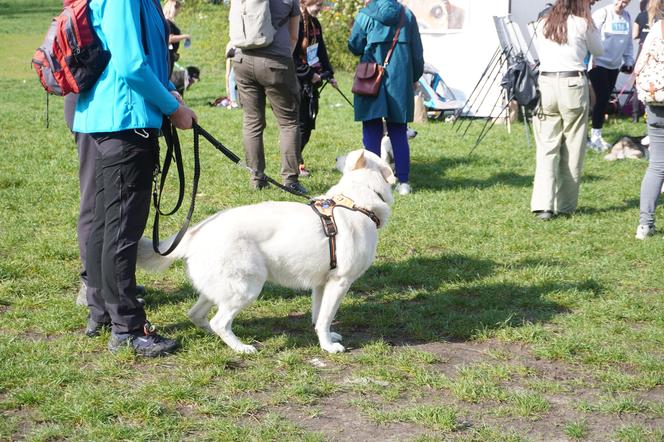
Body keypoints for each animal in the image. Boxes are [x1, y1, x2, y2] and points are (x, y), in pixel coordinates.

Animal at [136, 150, 394, 354]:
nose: (336, 157)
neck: (355, 200)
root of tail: (197, 229)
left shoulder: (322, 283)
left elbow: (319, 316)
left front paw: (327, 337)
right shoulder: (340, 282)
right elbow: (325, 318)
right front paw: (328, 347)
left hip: (221, 288)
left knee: (196, 314)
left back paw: (216, 337)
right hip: (246, 287)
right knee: (219, 321)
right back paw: (241, 347)